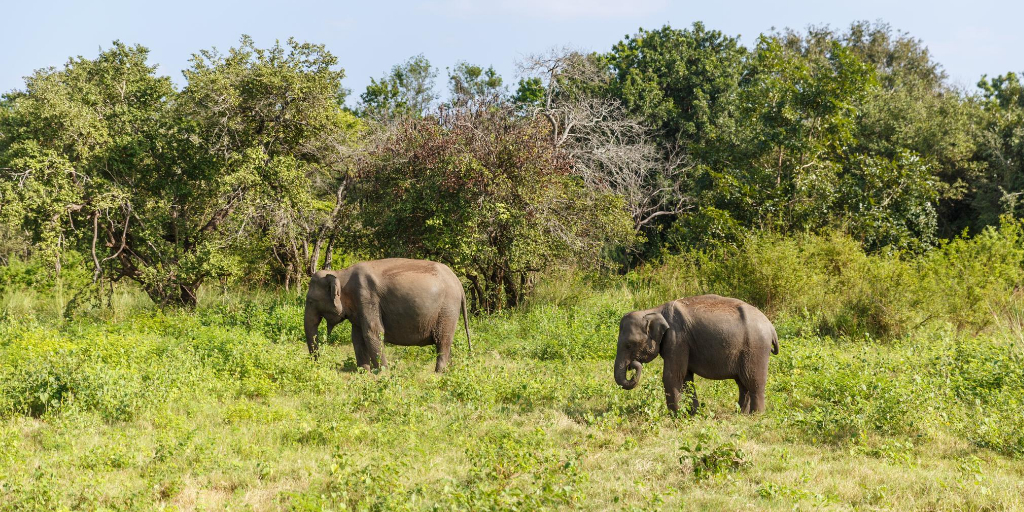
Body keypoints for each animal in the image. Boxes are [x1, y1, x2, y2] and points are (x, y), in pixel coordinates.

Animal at [304, 258, 471, 372]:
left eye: (310, 301)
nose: (317, 364)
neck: (341, 273)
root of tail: (459, 283)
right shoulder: (359, 306)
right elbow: (357, 336)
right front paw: (364, 373)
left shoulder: (366, 297)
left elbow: (373, 332)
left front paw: (383, 373)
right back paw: (450, 372)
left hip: (447, 309)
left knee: (442, 342)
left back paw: (437, 374)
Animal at [614, 294, 779, 414]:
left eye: (629, 345)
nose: (632, 365)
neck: (655, 310)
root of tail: (771, 327)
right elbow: (686, 378)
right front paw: (693, 414)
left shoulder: (677, 339)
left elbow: (672, 376)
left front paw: (676, 416)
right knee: (742, 383)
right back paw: (741, 414)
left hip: (756, 347)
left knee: (754, 381)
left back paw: (756, 416)